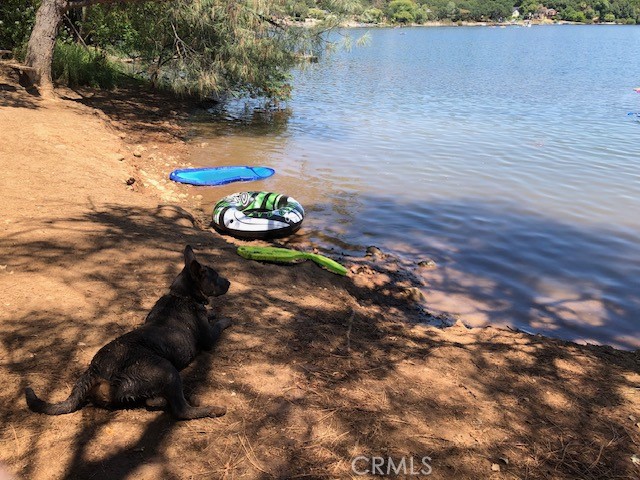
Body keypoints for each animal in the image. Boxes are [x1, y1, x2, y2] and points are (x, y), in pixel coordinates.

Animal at [25, 246, 230, 418]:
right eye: (216, 276)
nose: (229, 282)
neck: (182, 294)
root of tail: (94, 369)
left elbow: (211, 314)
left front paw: (213, 312)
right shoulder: (209, 338)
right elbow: (219, 324)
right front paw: (226, 318)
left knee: (152, 401)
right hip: (166, 369)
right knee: (182, 411)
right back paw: (212, 408)